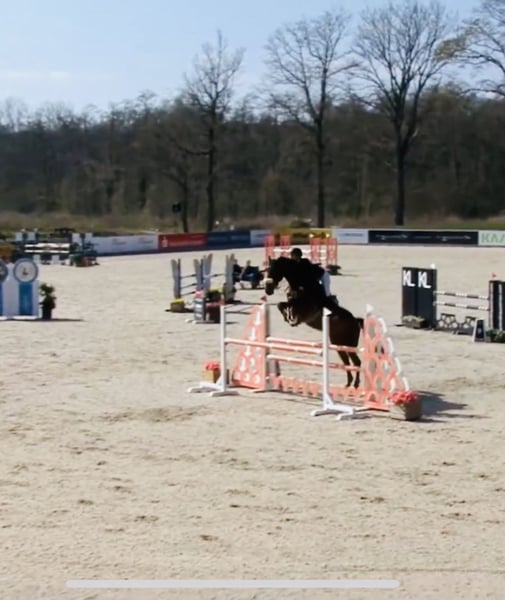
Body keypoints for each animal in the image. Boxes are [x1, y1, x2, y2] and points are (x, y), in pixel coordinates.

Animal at [264, 256, 363, 388]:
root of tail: (355, 321)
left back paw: (355, 384)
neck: (301, 282)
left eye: (275, 270)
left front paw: (292, 319)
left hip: (346, 344)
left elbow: (287, 305)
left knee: (356, 362)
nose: (268, 290)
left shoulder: (304, 307)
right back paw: (348, 384)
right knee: (347, 362)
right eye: (267, 270)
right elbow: (282, 305)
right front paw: (289, 318)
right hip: (339, 344)